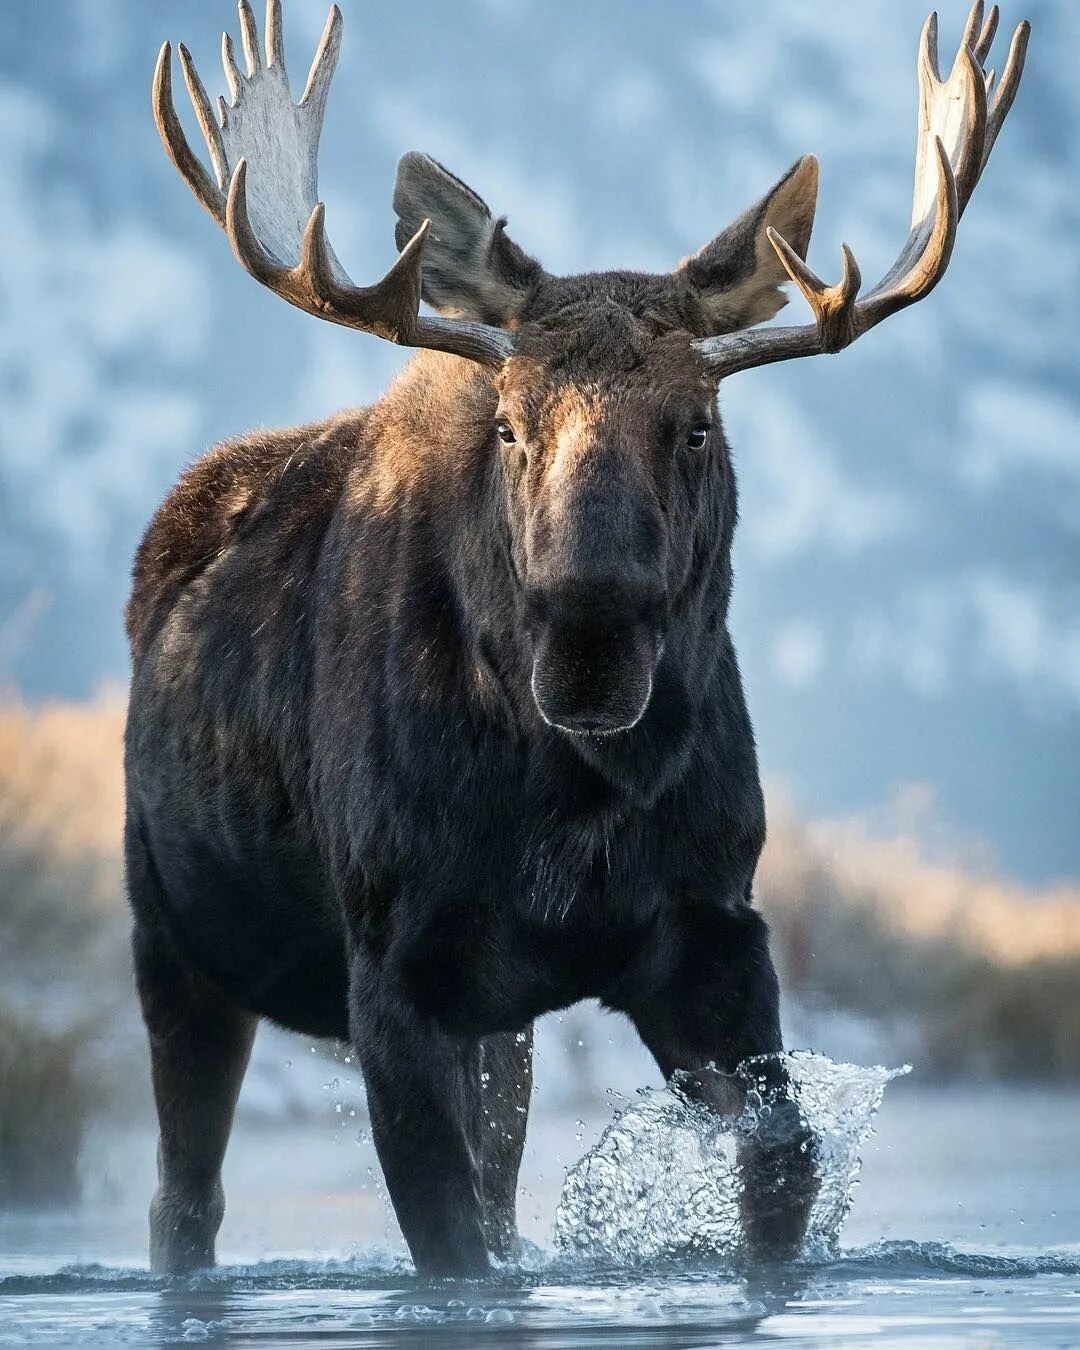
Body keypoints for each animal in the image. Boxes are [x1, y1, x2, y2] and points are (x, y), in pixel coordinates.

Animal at [128, 0, 1031, 1274]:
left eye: (696, 423)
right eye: (508, 423)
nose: (590, 646)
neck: (569, 800)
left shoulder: (713, 930)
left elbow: (781, 1171)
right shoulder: (392, 971)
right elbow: (447, 1241)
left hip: (496, 1029)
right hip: (175, 943)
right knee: (184, 1202)